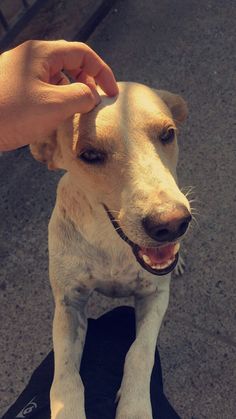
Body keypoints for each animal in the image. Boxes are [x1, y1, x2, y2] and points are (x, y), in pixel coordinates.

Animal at [30, 80, 191, 418]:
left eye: (167, 134)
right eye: (90, 154)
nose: (170, 224)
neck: (113, 243)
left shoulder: (155, 295)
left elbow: (139, 353)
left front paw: (134, 408)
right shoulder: (69, 305)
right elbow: (66, 378)